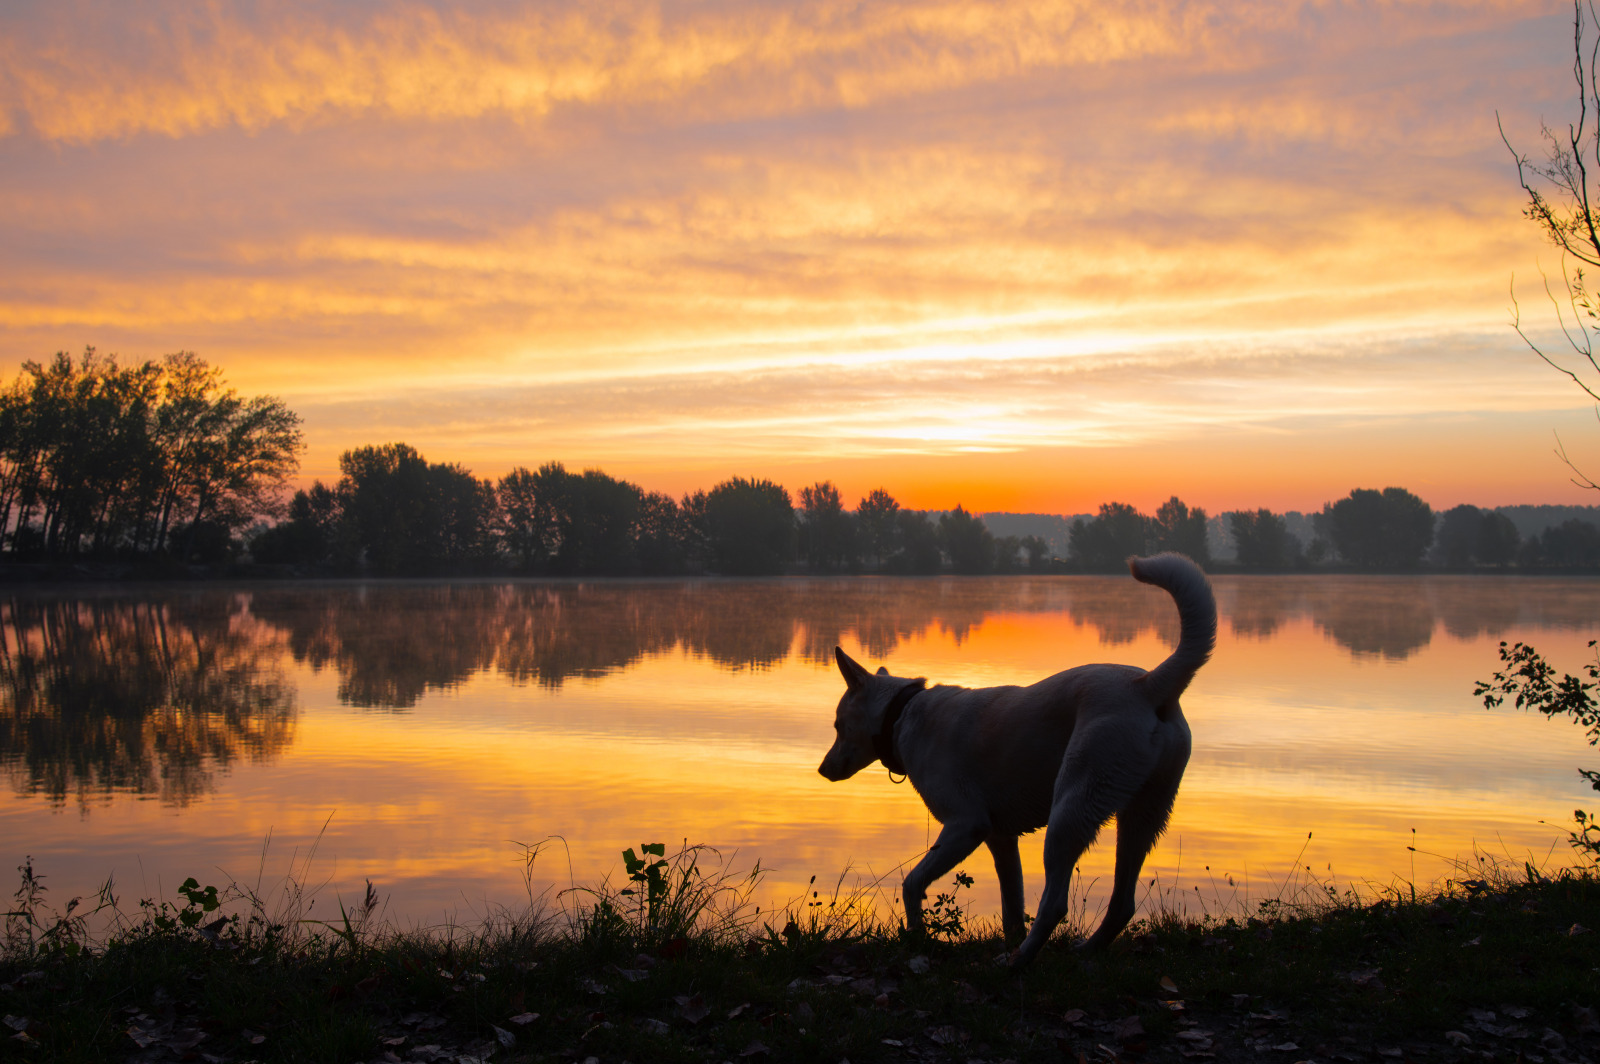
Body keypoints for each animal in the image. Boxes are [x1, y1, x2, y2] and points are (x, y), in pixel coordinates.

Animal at [825, 550, 1209, 966]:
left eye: (838, 725)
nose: (822, 769)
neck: (901, 714)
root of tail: (1147, 685)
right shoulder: (1001, 839)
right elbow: (1012, 907)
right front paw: (1005, 940)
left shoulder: (966, 825)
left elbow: (911, 884)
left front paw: (917, 937)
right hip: (1140, 818)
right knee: (1121, 903)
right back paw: (1079, 951)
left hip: (1071, 813)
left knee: (1055, 904)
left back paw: (1019, 961)